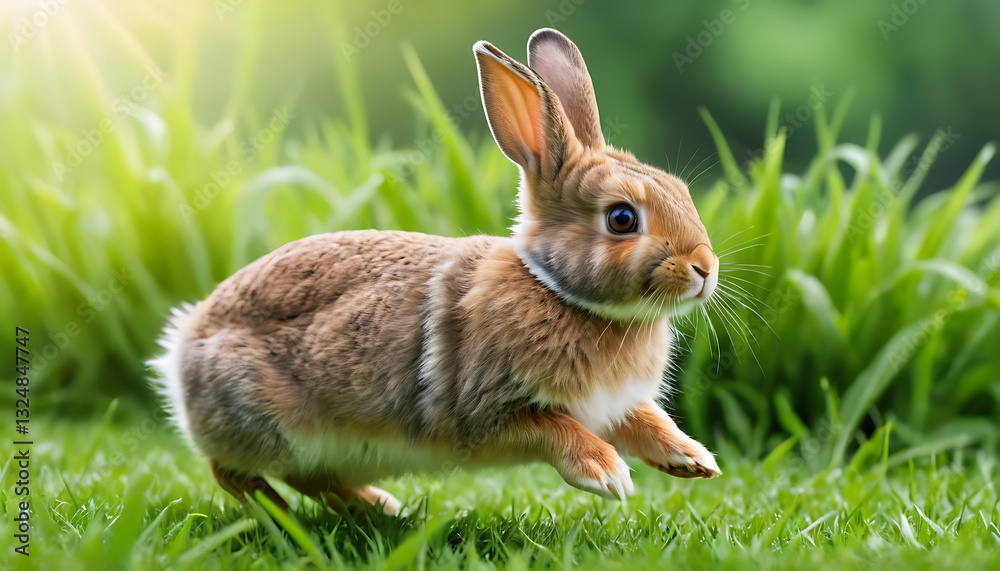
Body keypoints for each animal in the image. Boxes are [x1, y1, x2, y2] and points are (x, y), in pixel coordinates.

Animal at [149, 28, 721, 516]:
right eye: (622, 219)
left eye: (681, 191)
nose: (705, 269)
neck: (557, 290)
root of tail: (182, 347)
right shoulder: (488, 414)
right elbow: (556, 429)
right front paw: (607, 475)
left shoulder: (614, 406)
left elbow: (647, 418)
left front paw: (693, 459)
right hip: (272, 424)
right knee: (233, 473)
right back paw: (284, 519)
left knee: (304, 478)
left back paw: (379, 506)